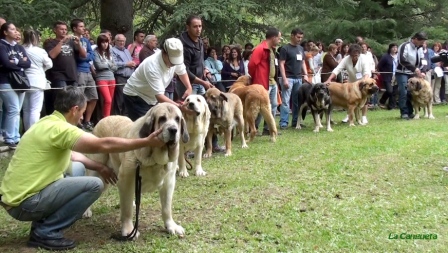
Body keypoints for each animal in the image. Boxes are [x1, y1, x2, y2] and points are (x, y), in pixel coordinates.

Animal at [84, 103, 189, 239]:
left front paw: (171, 226)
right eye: (162, 119)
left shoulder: (169, 182)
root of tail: (104, 119)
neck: (154, 160)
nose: (173, 130)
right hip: (98, 174)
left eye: (177, 119)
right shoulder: (126, 181)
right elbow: (127, 210)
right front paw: (129, 230)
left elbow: (166, 208)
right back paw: (86, 211)